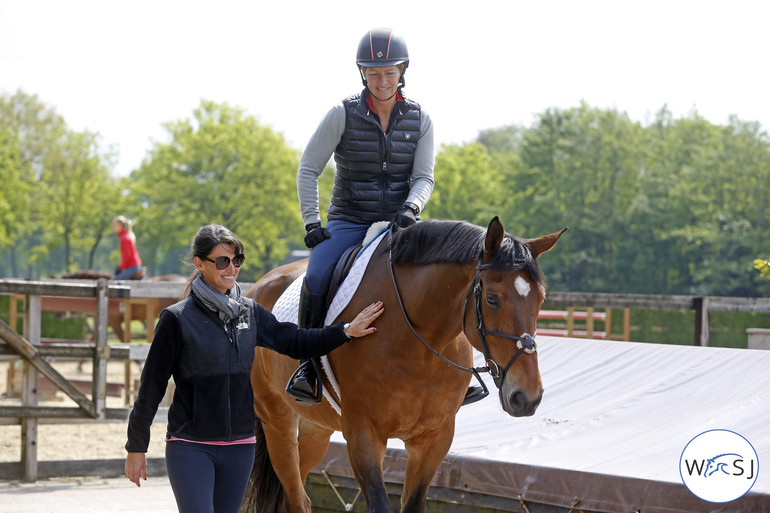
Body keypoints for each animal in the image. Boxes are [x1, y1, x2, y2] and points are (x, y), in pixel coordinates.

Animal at [243, 217, 568, 512]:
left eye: (541, 300)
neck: (417, 343)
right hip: (278, 422)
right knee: (295, 496)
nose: (527, 397)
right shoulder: (363, 435)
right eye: (491, 299)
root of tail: (254, 289)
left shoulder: (434, 439)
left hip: (315, 429)